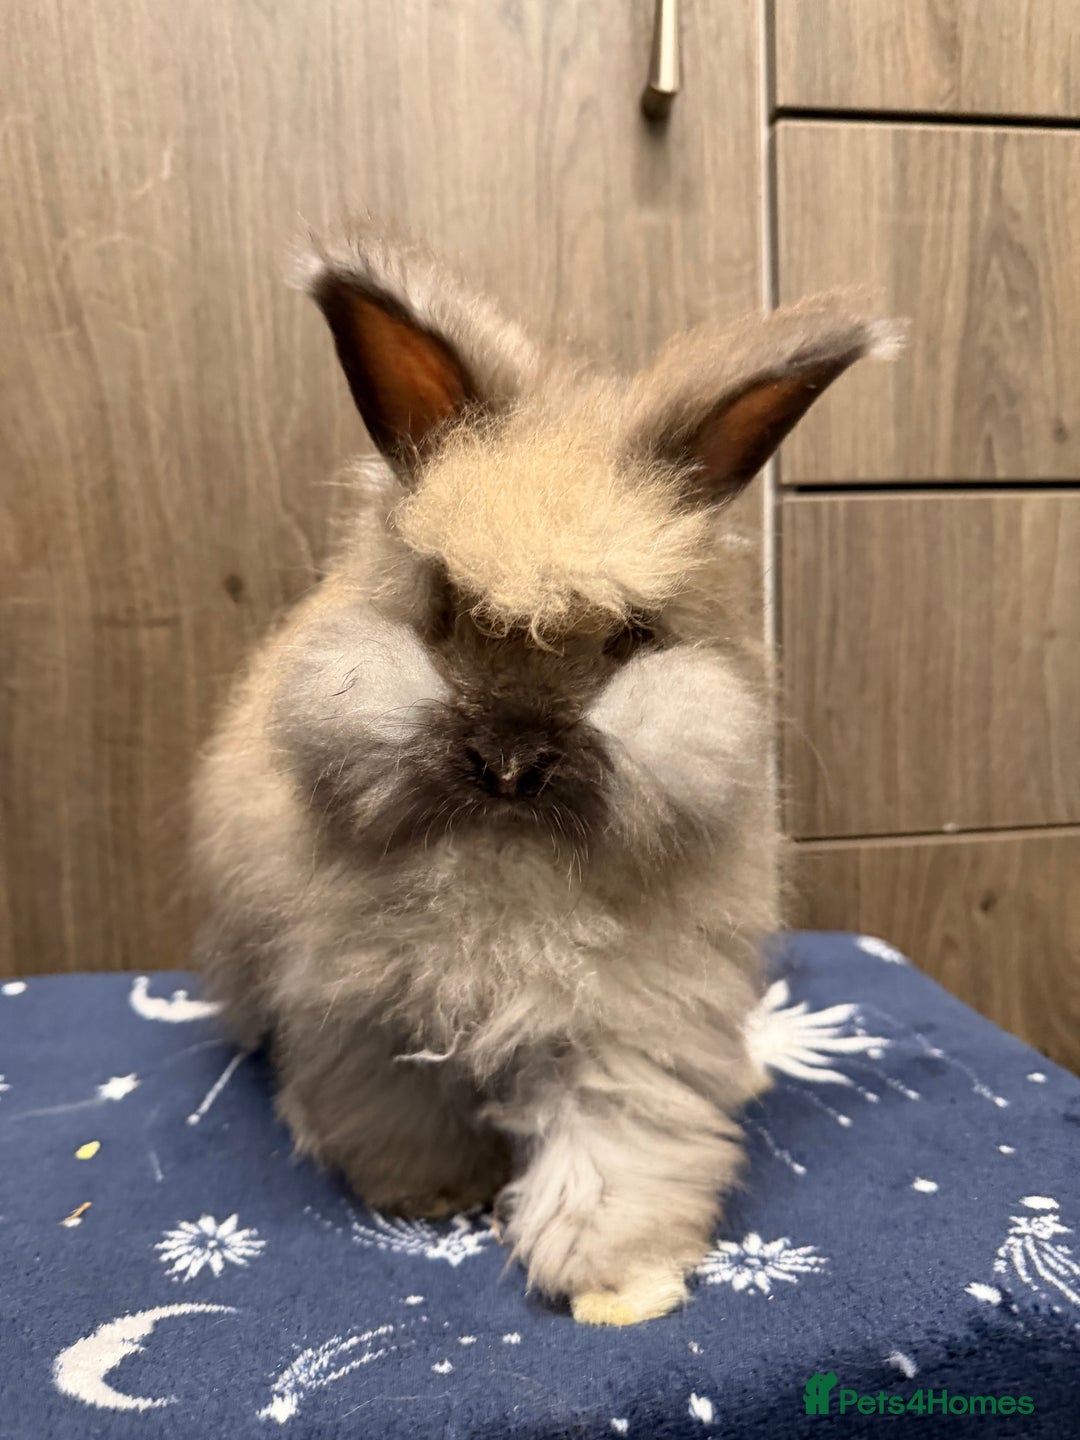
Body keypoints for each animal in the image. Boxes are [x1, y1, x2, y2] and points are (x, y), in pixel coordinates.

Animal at [191, 225, 899, 1326]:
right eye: (444, 612)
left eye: (628, 638)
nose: (510, 762)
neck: (505, 869)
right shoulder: (365, 1015)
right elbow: (400, 1111)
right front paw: (432, 1196)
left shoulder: (638, 1025)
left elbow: (618, 1148)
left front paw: (619, 1282)